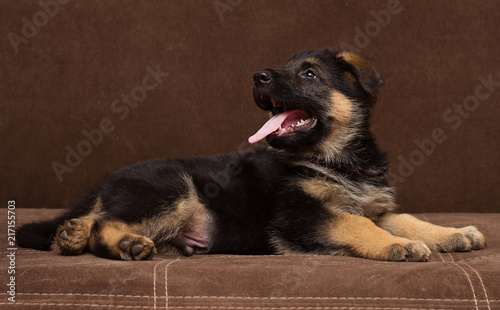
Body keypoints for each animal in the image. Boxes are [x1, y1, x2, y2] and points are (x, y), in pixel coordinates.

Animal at [17, 49, 486, 262]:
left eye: (309, 74)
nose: (258, 77)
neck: (335, 158)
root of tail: (106, 180)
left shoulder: (376, 206)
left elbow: (407, 219)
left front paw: (454, 233)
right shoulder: (300, 214)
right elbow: (357, 224)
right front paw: (398, 246)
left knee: (92, 218)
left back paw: (70, 235)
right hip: (173, 186)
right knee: (105, 224)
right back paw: (124, 243)